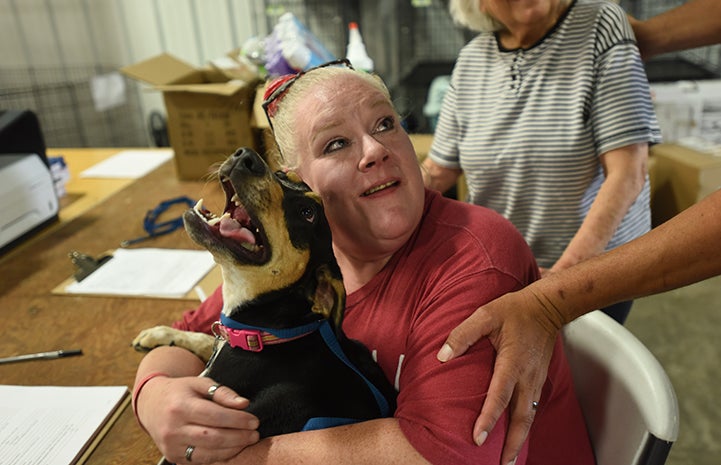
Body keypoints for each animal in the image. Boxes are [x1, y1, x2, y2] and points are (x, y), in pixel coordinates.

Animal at [132, 147, 396, 436]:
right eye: (281, 175)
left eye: (307, 213)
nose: (245, 156)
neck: (269, 334)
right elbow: (204, 336)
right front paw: (162, 334)